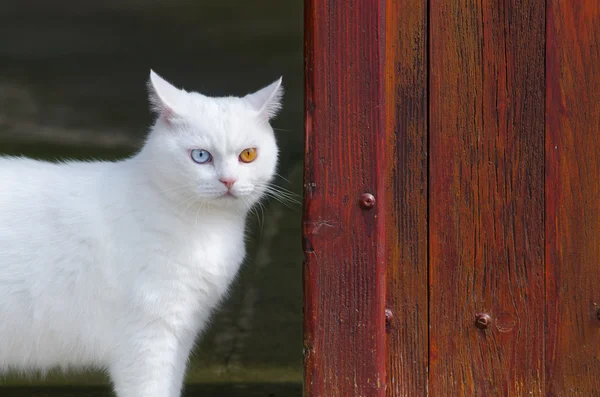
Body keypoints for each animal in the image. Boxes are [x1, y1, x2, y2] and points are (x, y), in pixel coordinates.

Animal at [0, 71, 284, 396]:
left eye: (248, 155)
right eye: (200, 156)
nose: (228, 180)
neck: (209, 227)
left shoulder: (180, 334)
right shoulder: (148, 338)